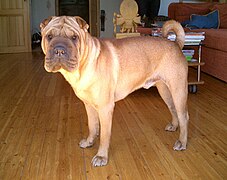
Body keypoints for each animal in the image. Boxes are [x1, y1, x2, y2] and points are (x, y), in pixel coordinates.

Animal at [40, 16, 189, 167]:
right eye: (49, 37)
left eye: (74, 37)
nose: (59, 50)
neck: (83, 66)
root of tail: (176, 44)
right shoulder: (89, 105)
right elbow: (93, 127)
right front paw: (89, 142)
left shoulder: (105, 108)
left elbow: (104, 135)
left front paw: (101, 156)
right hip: (165, 91)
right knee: (173, 109)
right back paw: (174, 126)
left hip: (178, 90)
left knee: (184, 116)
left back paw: (182, 142)